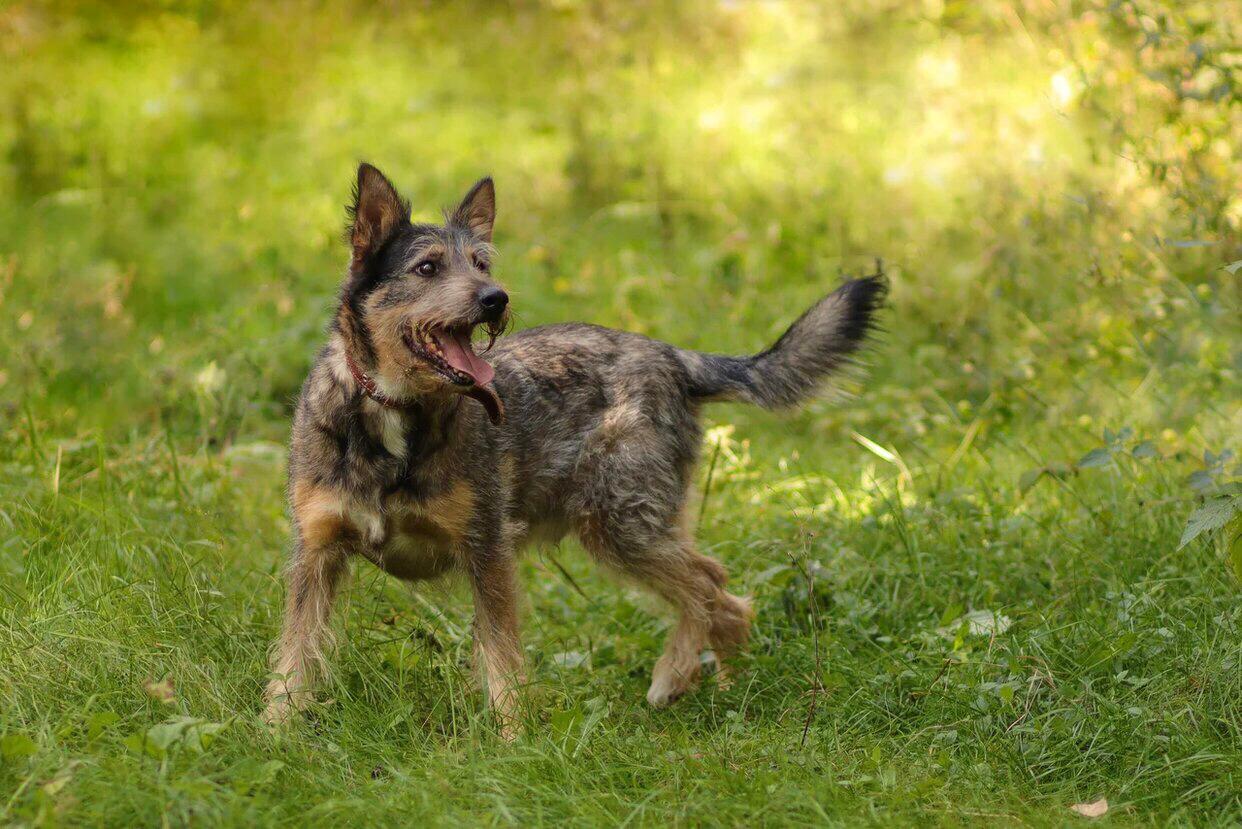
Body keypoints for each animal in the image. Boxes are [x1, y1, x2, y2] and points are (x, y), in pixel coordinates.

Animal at [262, 164, 889, 730]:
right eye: (427, 267)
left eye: (482, 263)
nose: (495, 298)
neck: (395, 415)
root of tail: (673, 355)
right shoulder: (317, 553)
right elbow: (295, 656)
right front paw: (276, 734)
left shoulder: (487, 548)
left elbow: (502, 660)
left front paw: (512, 741)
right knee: (722, 599)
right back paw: (729, 687)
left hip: (621, 521)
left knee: (714, 588)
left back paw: (680, 676)